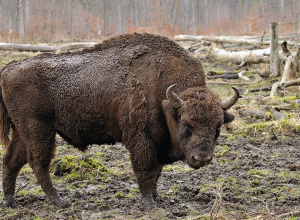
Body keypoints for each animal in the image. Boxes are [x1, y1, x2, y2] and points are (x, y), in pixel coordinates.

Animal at [0, 33, 239, 210]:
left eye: (218, 126)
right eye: (186, 124)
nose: (202, 158)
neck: (165, 98)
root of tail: (8, 69)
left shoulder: (158, 143)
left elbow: (157, 172)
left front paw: (156, 197)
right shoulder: (142, 139)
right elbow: (146, 170)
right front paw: (149, 204)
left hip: (22, 131)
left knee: (12, 160)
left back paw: (11, 202)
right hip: (39, 130)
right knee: (38, 163)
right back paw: (60, 202)